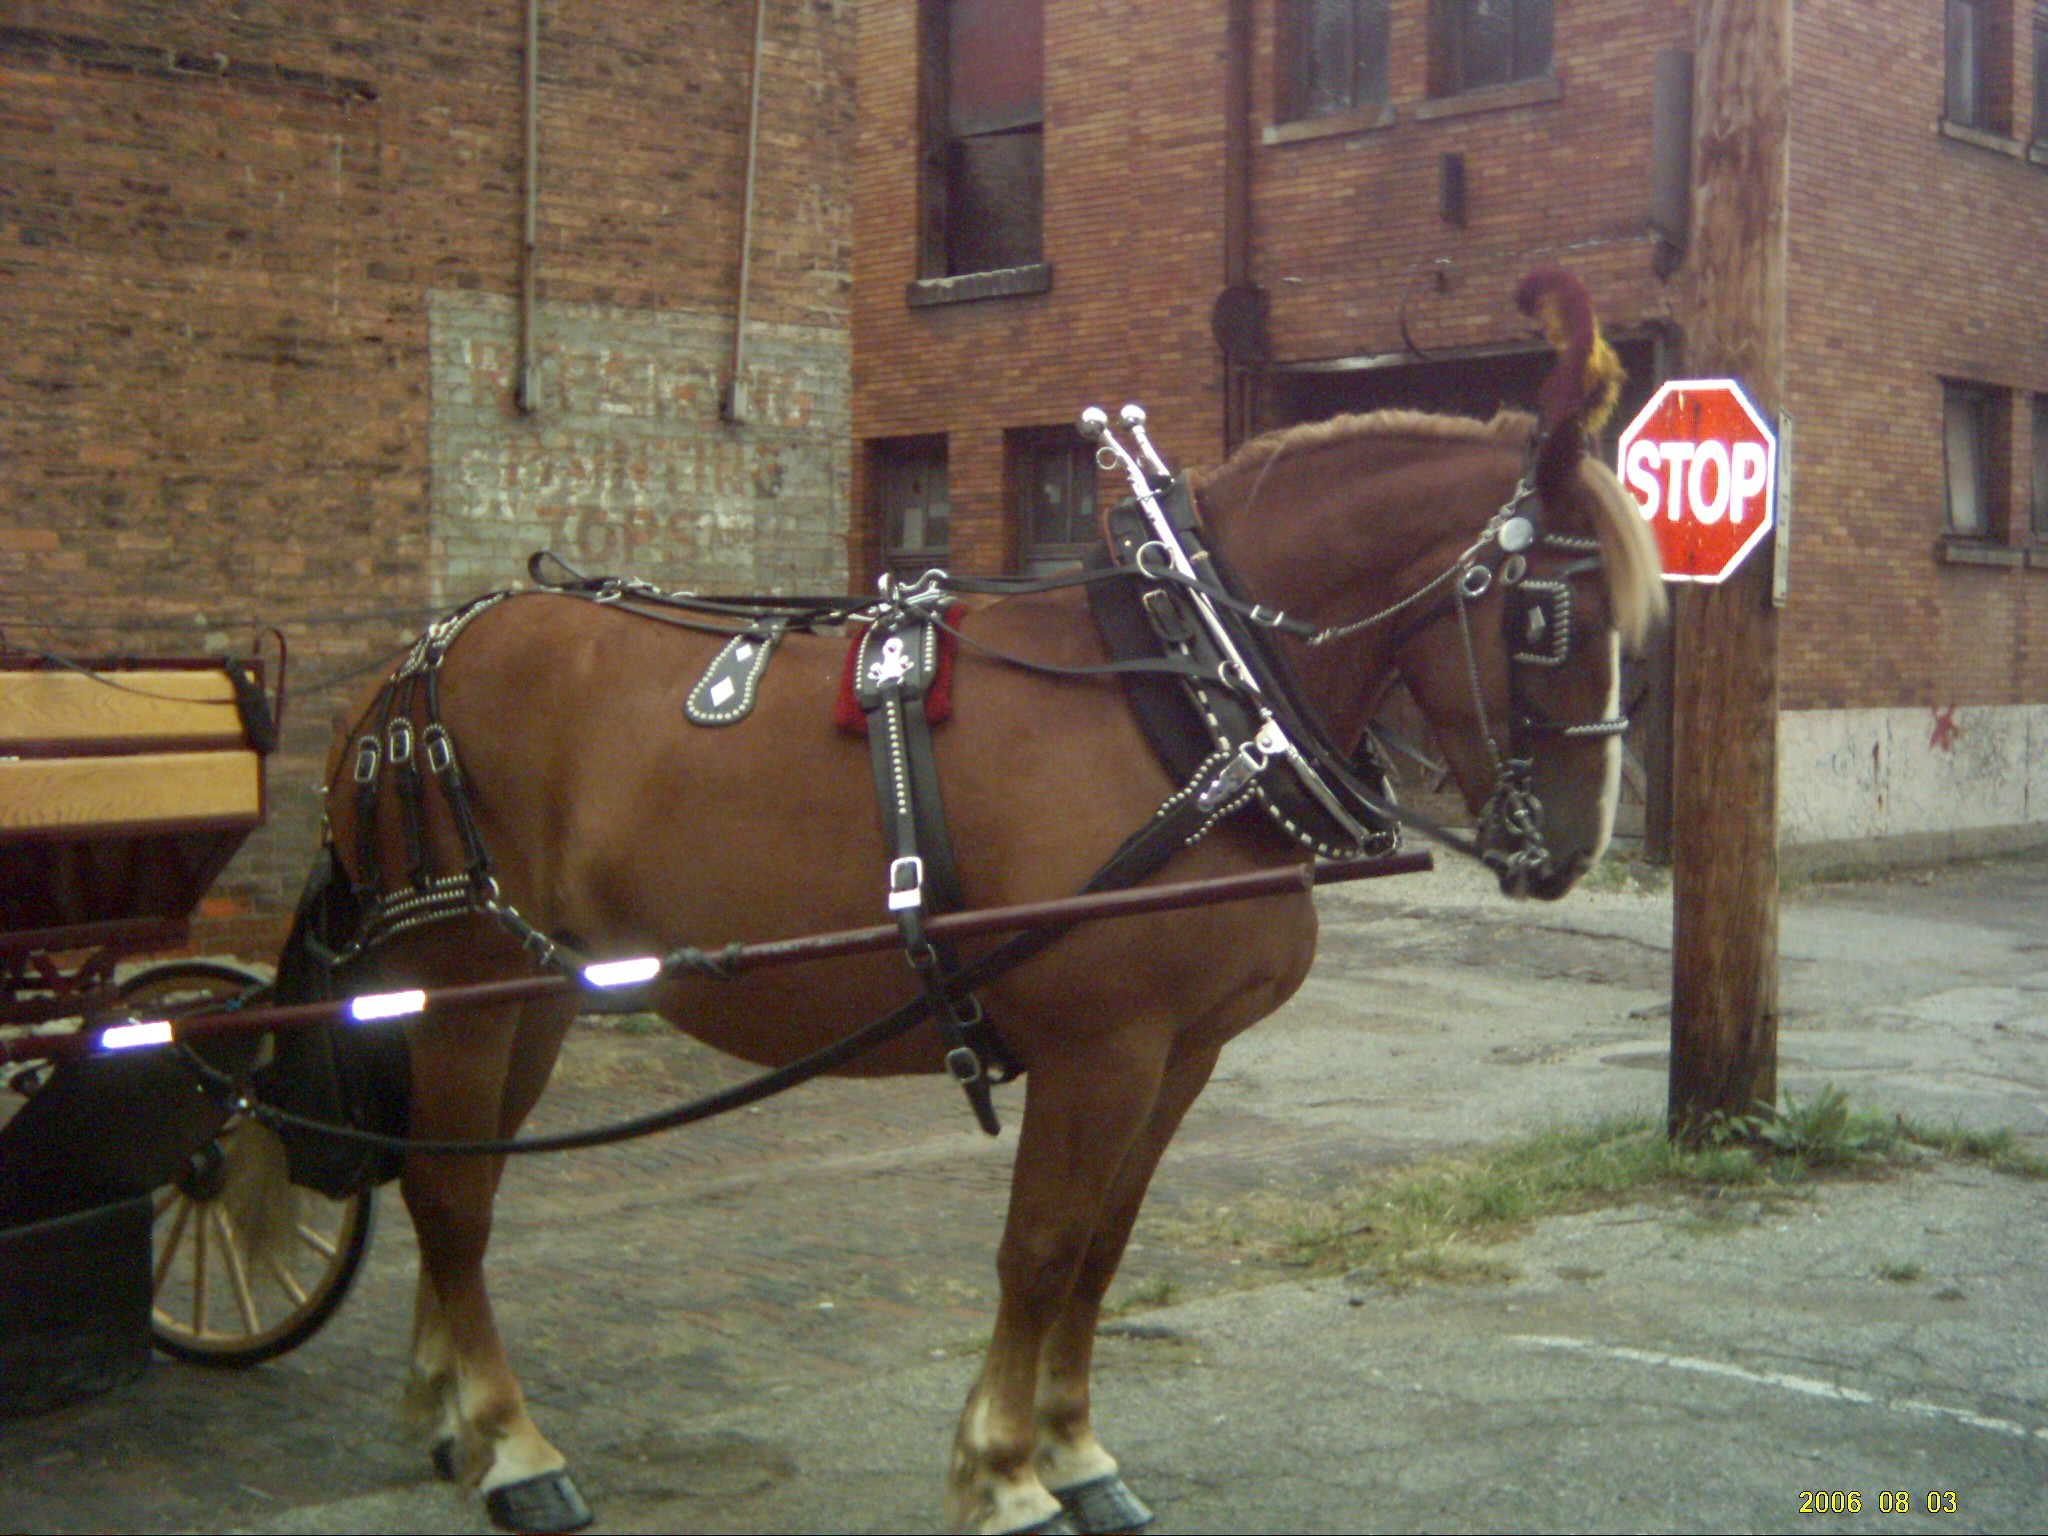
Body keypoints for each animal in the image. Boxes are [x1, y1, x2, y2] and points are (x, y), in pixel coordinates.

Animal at [323, 270, 1662, 1531]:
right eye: (1551, 615)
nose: (1573, 847)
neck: (1193, 697)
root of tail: (414, 660)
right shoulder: (1100, 1046)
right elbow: (1041, 1250)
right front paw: (1005, 1474)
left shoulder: (1181, 1052)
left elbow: (1103, 1250)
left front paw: (1074, 1452)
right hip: (462, 985)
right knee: (449, 1199)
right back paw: (511, 1447)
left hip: (536, 993)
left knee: (456, 1181)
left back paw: (445, 1412)